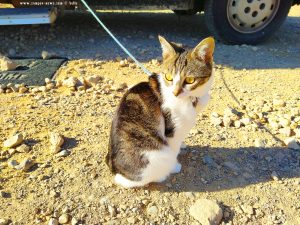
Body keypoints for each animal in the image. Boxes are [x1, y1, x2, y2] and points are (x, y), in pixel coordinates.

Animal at [106, 36, 214, 187]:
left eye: (190, 80)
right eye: (168, 77)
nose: (175, 93)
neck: (191, 99)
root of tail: (115, 169)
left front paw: (183, 145)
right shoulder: (172, 130)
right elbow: (174, 148)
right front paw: (175, 165)